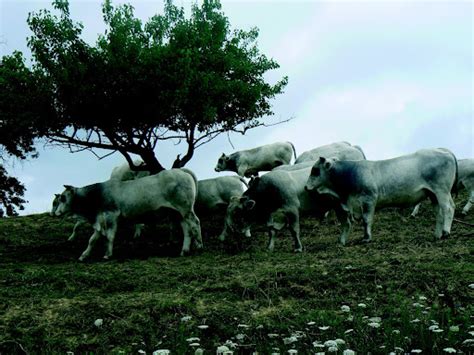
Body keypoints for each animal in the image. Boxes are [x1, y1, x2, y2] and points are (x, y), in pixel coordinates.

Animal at [53, 168, 202, 260]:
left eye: (63, 198)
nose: (57, 213)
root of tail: (181, 170)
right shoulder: (100, 221)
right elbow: (92, 240)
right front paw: (84, 255)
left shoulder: (111, 216)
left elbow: (109, 236)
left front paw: (107, 254)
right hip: (177, 213)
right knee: (187, 229)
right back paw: (184, 250)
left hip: (185, 209)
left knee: (195, 223)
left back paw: (199, 245)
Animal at [306, 148, 458, 245]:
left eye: (315, 170)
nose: (306, 187)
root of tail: (445, 152)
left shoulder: (368, 200)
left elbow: (366, 220)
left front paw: (366, 238)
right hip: (433, 194)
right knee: (439, 213)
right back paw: (437, 235)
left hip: (442, 191)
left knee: (448, 208)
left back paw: (446, 232)